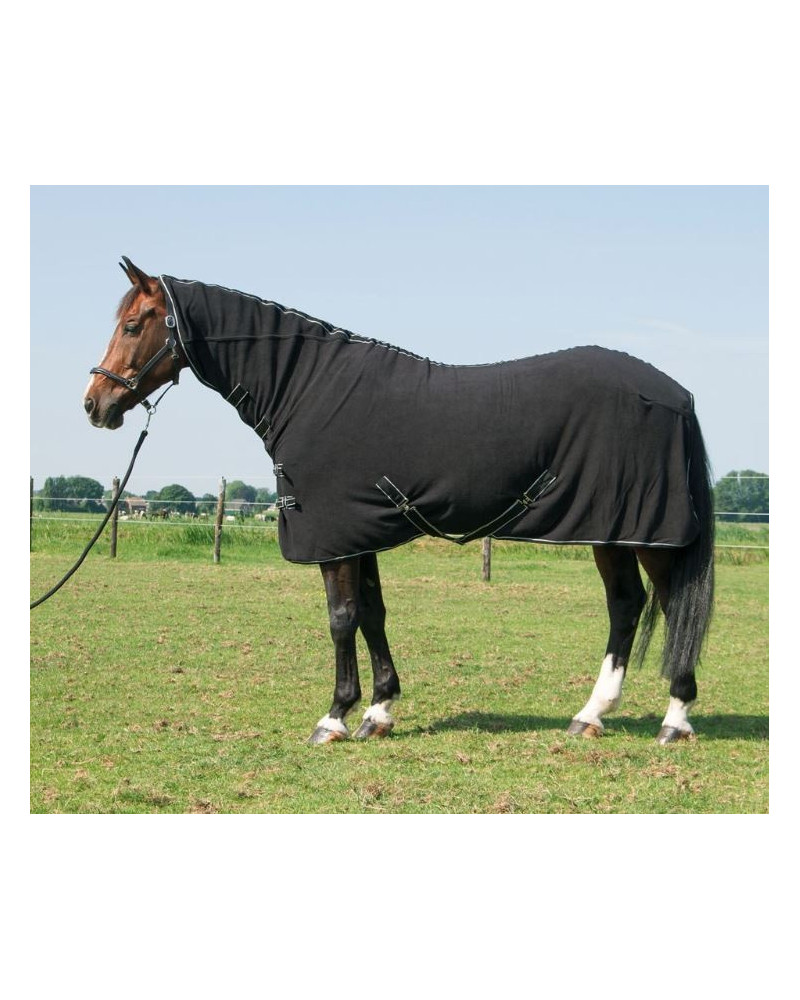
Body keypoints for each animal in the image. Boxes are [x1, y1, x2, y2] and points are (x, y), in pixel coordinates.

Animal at [84, 257, 715, 746]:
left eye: (134, 324)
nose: (95, 403)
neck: (309, 390)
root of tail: (676, 393)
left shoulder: (335, 537)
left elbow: (341, 619)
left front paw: (334, 718)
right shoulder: (357, 530)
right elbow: (372, 613)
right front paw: (379, 711)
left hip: (645, 532)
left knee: (665, 602)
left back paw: (675, 721)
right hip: (613, 532)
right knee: (627, 606)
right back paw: (590, 716)